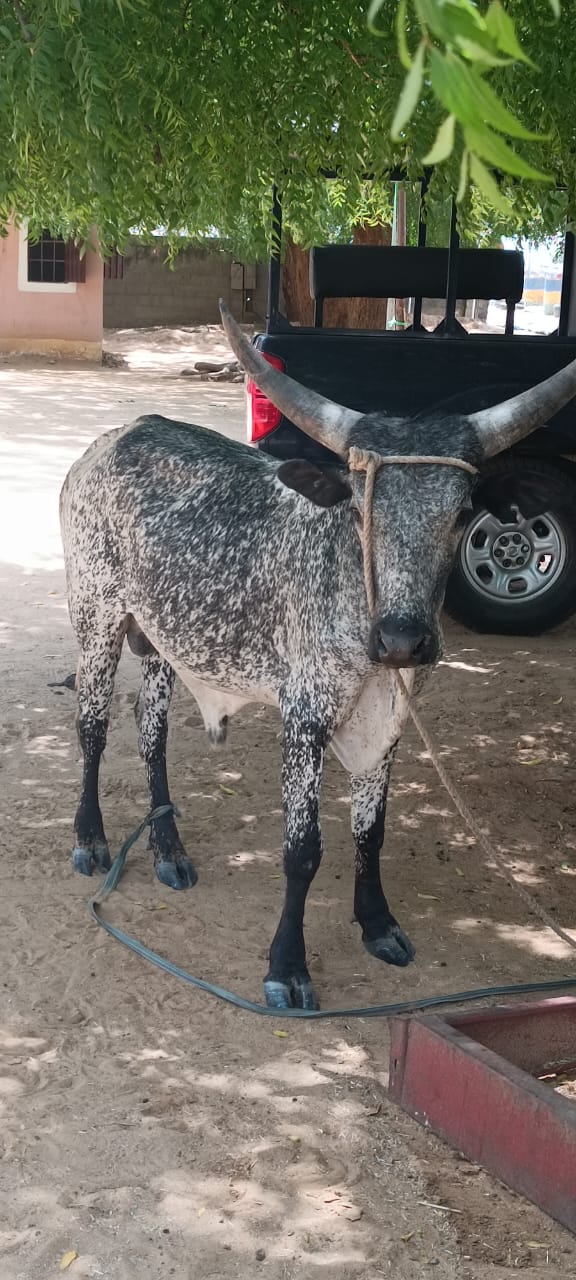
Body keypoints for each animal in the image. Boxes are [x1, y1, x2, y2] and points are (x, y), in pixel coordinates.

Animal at [59, 303, 576, 1009]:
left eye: (462, 511)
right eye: (358, 505)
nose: (403, 640)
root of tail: (112, 440)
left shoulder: (388, 720)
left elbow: (371, 830)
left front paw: (378, 924)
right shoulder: (304, 714)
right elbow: (302, 848)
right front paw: (287, 967)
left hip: (166, 633)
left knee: (150, 726)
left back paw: (168, 849)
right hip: (97, 612)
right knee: (93, 723)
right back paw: (90, 839)